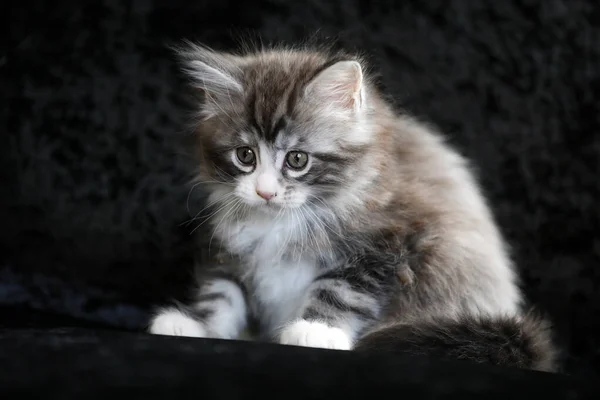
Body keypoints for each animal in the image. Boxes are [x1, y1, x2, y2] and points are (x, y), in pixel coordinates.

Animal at [149, 41, 556, 372]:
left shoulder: (388, 244)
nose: (265, 192)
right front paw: (195, 325)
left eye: (297, 159)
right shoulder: (229, 246)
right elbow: (221, 291)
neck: (285, 221)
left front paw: (316, 330)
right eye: (245, 156)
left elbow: (340, 289)